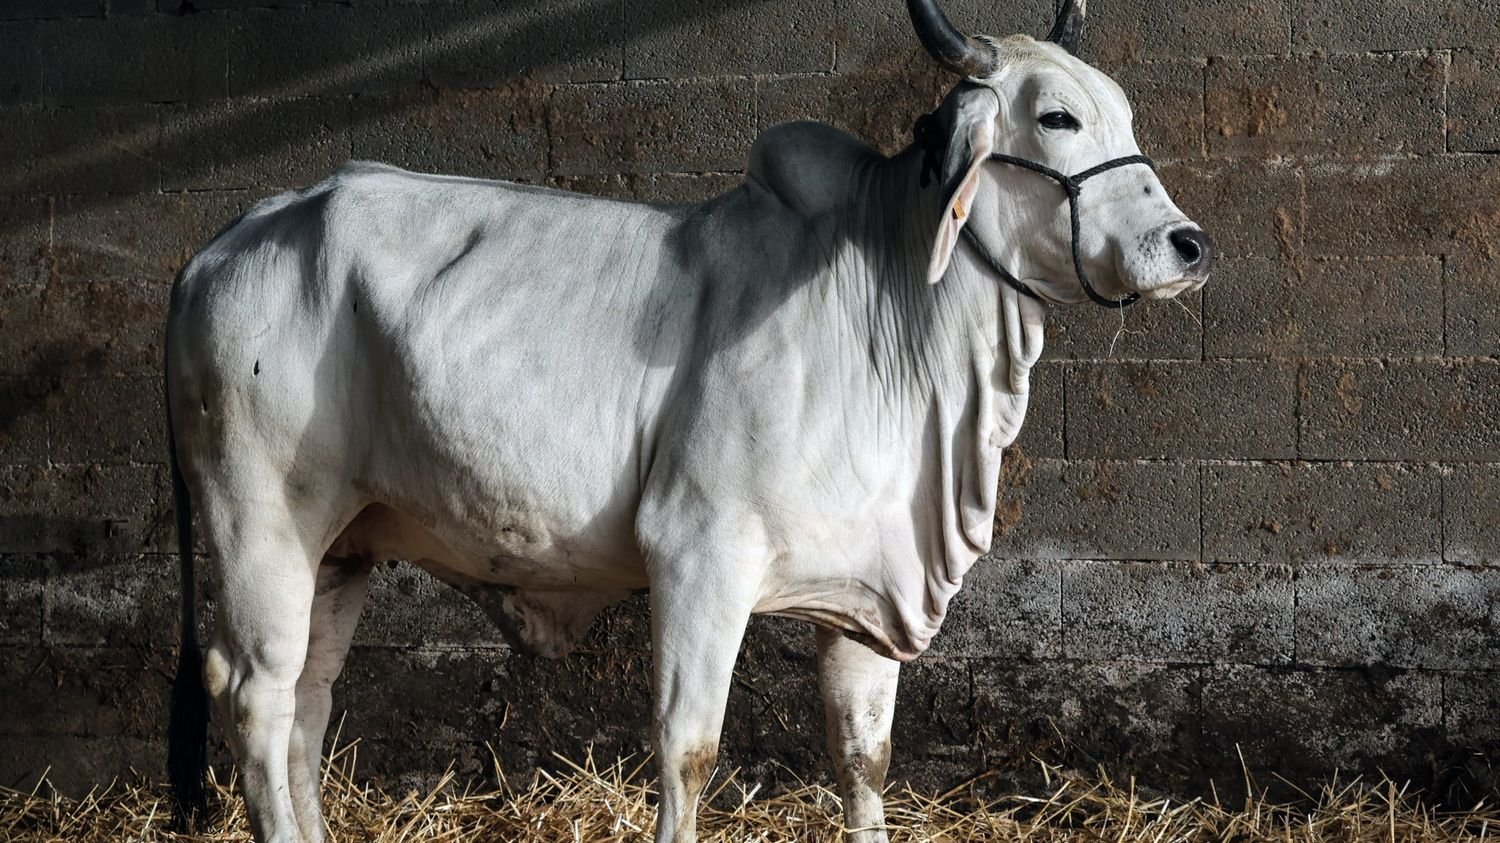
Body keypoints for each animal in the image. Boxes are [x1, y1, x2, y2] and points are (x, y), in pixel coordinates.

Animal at [164, 1, 1212, 841]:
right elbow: (690, 751)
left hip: (341, 544)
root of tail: (238, 232)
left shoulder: (866, 593)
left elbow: (863, 763)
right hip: (261, 519)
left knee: (307, 702)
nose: (1188, 245)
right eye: (1057, 115)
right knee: (257, 696)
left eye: (1122, 111)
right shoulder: (699, 553)